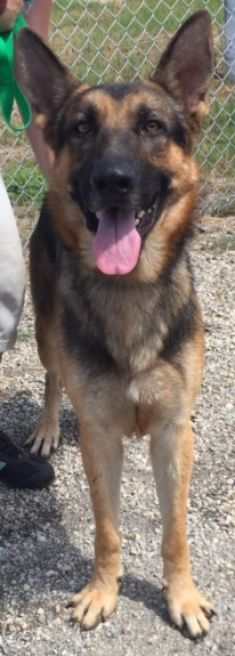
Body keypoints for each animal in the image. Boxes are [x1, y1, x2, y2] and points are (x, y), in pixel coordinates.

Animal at [16, 10, 215, 636]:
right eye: (82, 128)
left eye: (152, 126)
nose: (114, 180)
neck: (129, 291)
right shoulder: (100, 436)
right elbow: (107, 529)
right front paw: (103, 590)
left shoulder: (174, 433)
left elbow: (175, 532)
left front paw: (182, 596)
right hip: (47, 333)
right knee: (54, 377)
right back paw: (47, 427)